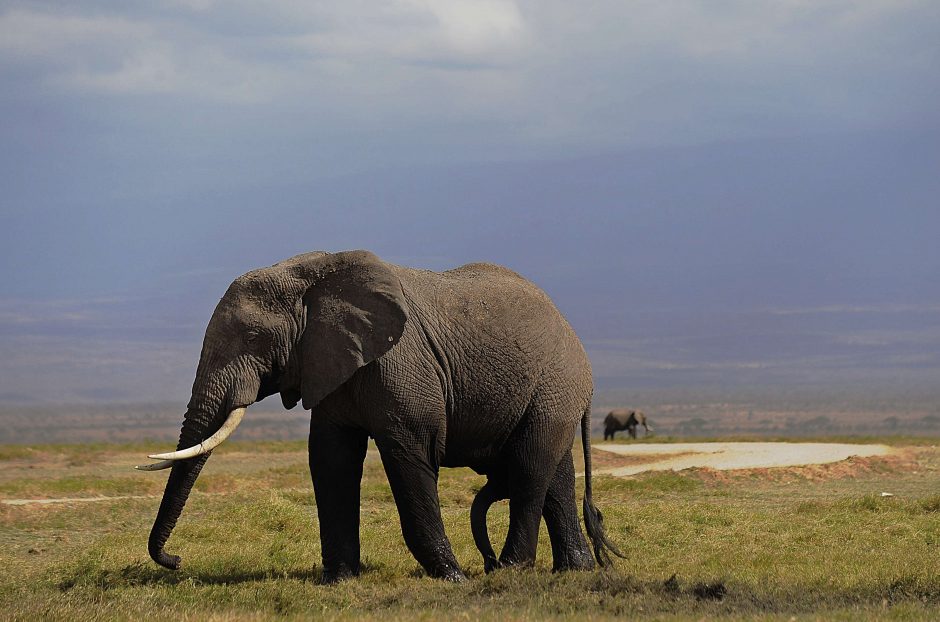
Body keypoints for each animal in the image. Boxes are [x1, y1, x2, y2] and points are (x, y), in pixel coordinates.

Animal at [140, 250, 620, 584]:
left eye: (254, 337)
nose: (176, 560)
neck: (311, 275)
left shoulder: (400, 367)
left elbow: (409, 456)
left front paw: (451, 577)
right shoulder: (329, 365)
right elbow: (331, 460)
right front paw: (337, 581)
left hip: (555, 384)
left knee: (529, 469)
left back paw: (509, 570)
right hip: (550, 394)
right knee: (555, 475)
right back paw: (574, 571)